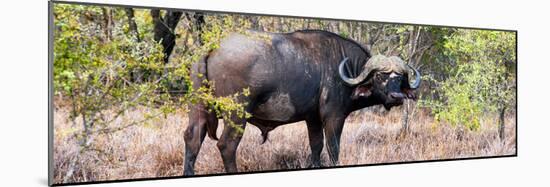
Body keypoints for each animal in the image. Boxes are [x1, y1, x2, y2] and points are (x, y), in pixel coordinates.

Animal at [183, 29, 420, 175]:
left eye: (400, 78)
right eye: (380, 76)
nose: (397, 97)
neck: (346, 69)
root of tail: (213, 46)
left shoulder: (312, 119)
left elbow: (316, 146)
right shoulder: (333, 117)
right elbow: (333, 148)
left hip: (198, 108)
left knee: (192, 138)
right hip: (237, 113)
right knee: (226, 145)